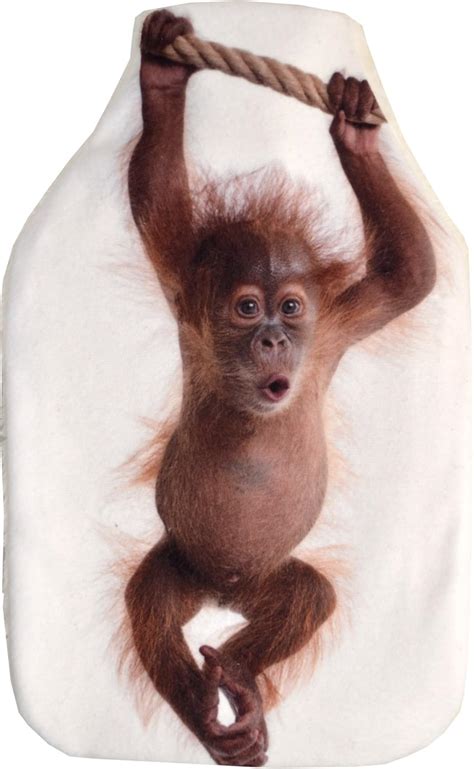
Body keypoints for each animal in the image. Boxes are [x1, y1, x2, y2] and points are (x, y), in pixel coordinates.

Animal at [124, 9, 436, 767]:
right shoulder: (186, 293)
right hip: (182, 564)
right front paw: (163, 74)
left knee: (308, 597)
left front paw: (353, 128)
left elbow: (411, 275)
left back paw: (240, 679)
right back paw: (213, 715)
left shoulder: (335, 329)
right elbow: (154, 196)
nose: (273, 339)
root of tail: (224, 594)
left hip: (270, 578)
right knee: (150, 605)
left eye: (290, 307)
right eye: (246, 308)